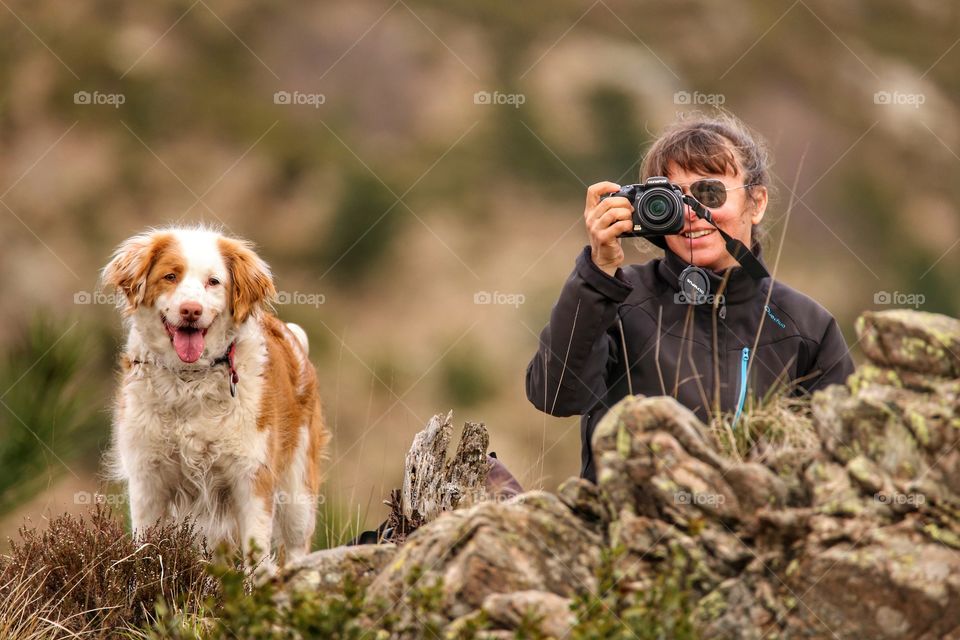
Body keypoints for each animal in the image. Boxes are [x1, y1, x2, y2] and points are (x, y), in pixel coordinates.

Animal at [100, 226, 326, 564]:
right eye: (170, 276)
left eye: (214, 281)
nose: (191, 310)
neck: (190, 380)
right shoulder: (147, 479)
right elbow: (146, 547)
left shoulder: (252, 477)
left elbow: (256, 555)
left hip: (297, 491)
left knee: (297, 545)